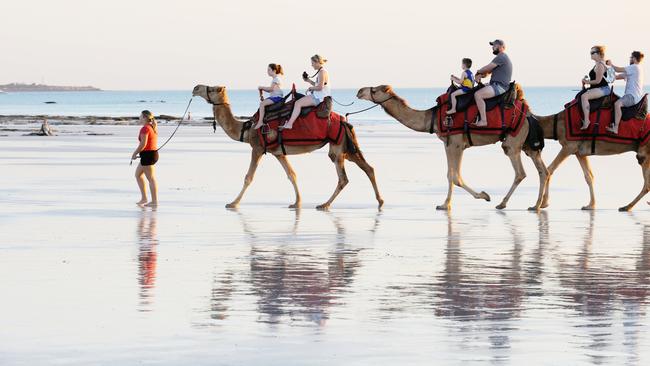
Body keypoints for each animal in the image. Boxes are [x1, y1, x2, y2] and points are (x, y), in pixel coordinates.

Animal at [190, 83, 382, 209]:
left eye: (212, 89)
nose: (196, 88)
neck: (247, 129)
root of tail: (344, 120)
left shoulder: (257, 148)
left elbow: (248, 177)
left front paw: (233, 203)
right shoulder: (278, 153)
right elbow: (292, 174)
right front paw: (297, 202)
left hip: (337, 145)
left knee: (343, 177)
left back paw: (324, 204)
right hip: (346, 146)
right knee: (368, 168)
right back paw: (380, 201)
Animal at [354, 85, 548, 210]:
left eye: (374, 90)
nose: (359, 91)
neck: (431, 117)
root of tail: (529, 115)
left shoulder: (455, 143)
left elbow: (455, 177)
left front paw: (483, 195)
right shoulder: (450, 144)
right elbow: (451, 175)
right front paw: (445, 204)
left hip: (513, 142)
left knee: (520, 172)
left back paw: (502, 203)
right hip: (528, 145)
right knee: (543, 171)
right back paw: (536, 205)